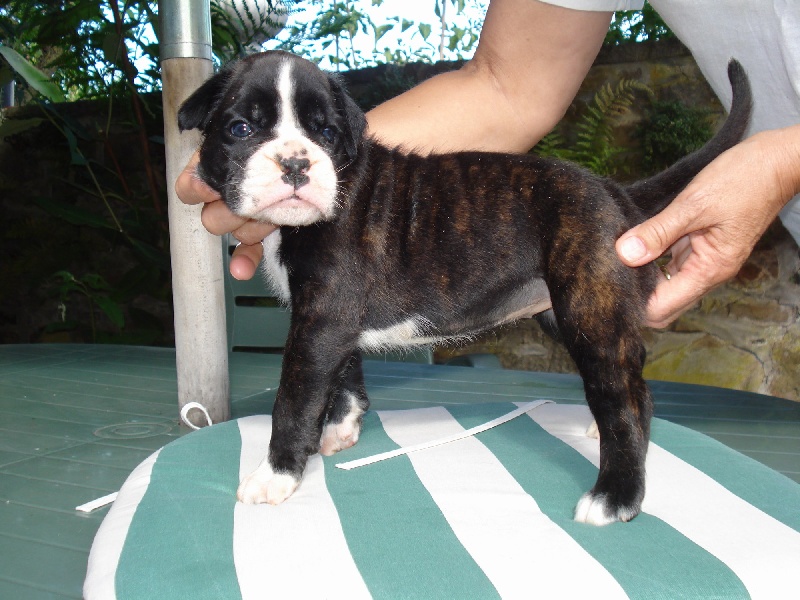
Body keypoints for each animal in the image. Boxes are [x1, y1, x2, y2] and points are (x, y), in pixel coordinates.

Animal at [180, 52, 752, 524]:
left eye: (325, 132)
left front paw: (275, 475)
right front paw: (342, 427)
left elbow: (295, 400)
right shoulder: (331, 323)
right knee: (634, 389)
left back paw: (615, 498)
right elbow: (342, 374)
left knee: (623, 400)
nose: (297, 162)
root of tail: (617, 194)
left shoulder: (319, 320)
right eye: (239, 128)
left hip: (591, 312)